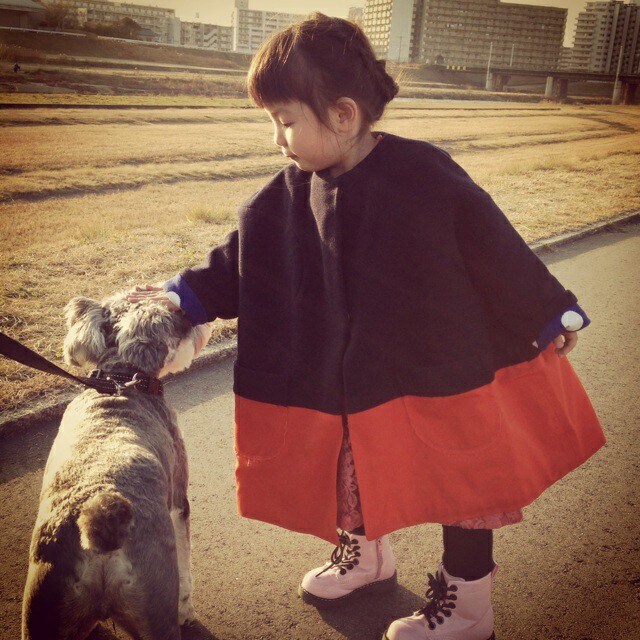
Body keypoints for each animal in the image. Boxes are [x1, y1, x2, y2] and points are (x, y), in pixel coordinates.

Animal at [21, 292, 212, 640]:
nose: (202, 321)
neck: (119, 382)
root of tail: (98, 522)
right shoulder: (179, 502)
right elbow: (185, 566)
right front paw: (187, 611)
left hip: (44, 607)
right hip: (154, 607)